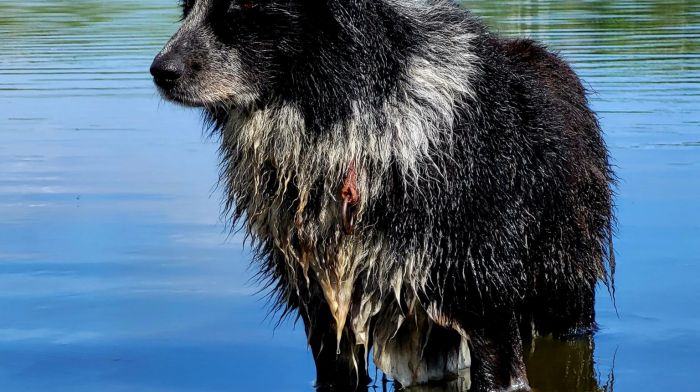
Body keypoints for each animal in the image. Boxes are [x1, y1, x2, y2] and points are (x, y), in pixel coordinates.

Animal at [149, 1, 612, 390]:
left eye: (245, 5)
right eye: (187, 7)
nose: (160, 71)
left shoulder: (486, 296)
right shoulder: (324, 304)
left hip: (562, 286)